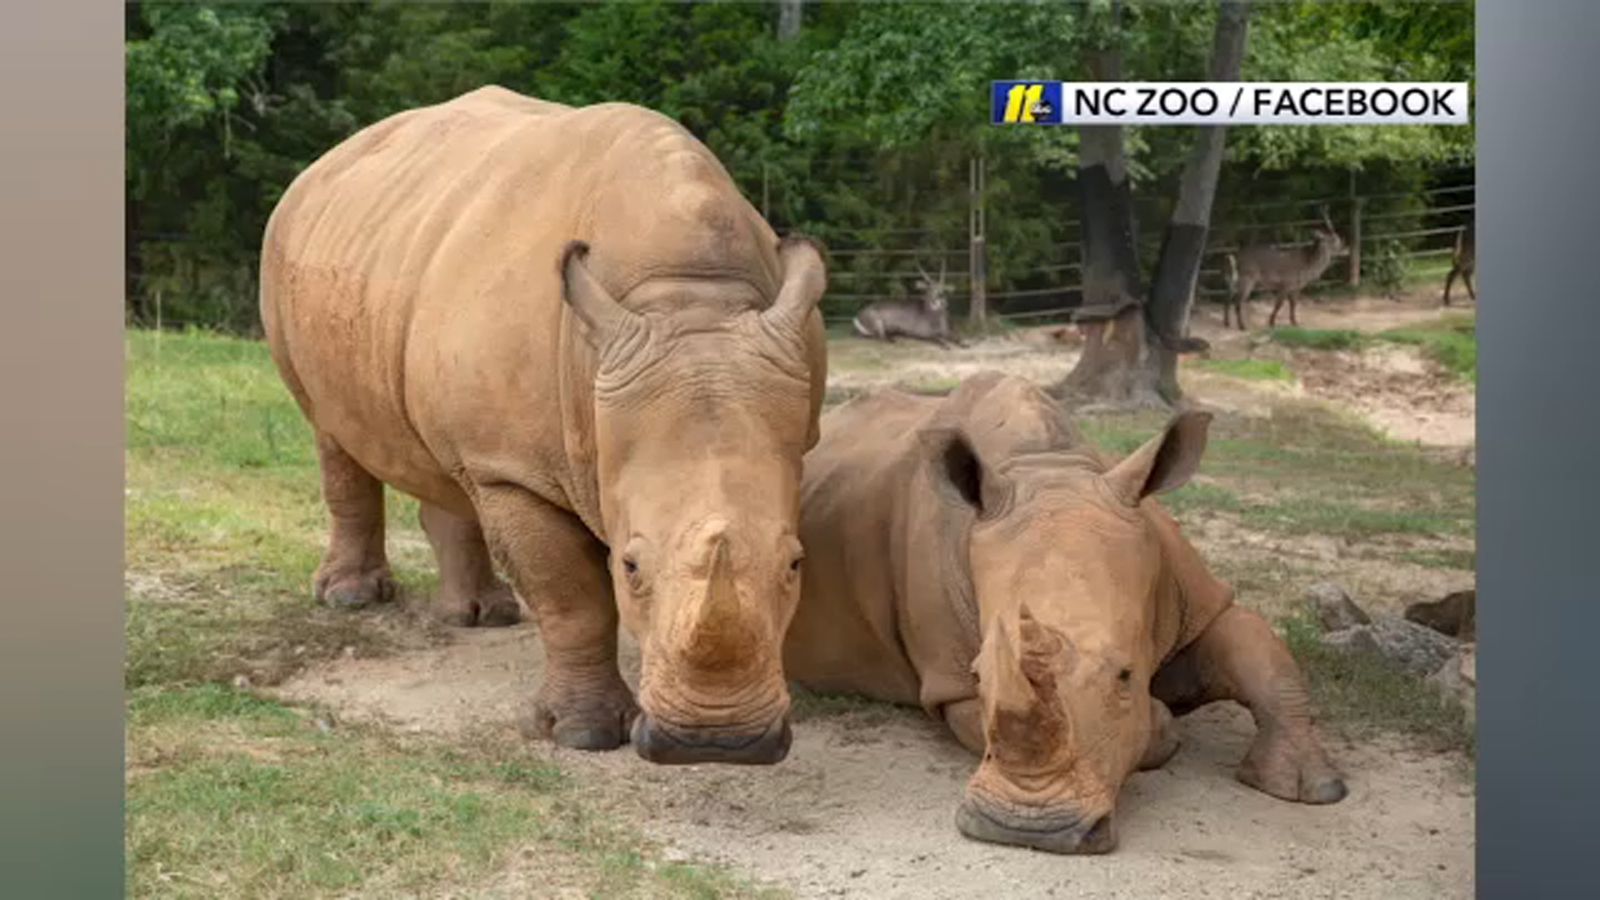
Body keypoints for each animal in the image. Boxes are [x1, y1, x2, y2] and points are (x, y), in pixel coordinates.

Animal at [260, 86, 830, 765]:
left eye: (795, 564)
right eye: (630, 567)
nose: (720, 744)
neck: (686, 297)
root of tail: (327, 161)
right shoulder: (515, 469)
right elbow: (571, 596)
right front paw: (582, 735)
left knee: (448, 462)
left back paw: (480, 616)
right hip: (287, 248)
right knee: (329, 428)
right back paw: (350, 599)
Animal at [783, 373, 1346, 853]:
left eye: (1126, 673)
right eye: (979, 674)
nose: (1027, 830)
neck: (1047, 468)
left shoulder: (1195, 597)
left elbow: (1262, 653)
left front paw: (1314, 789)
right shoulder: (949, 682)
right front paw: (1162, 728)